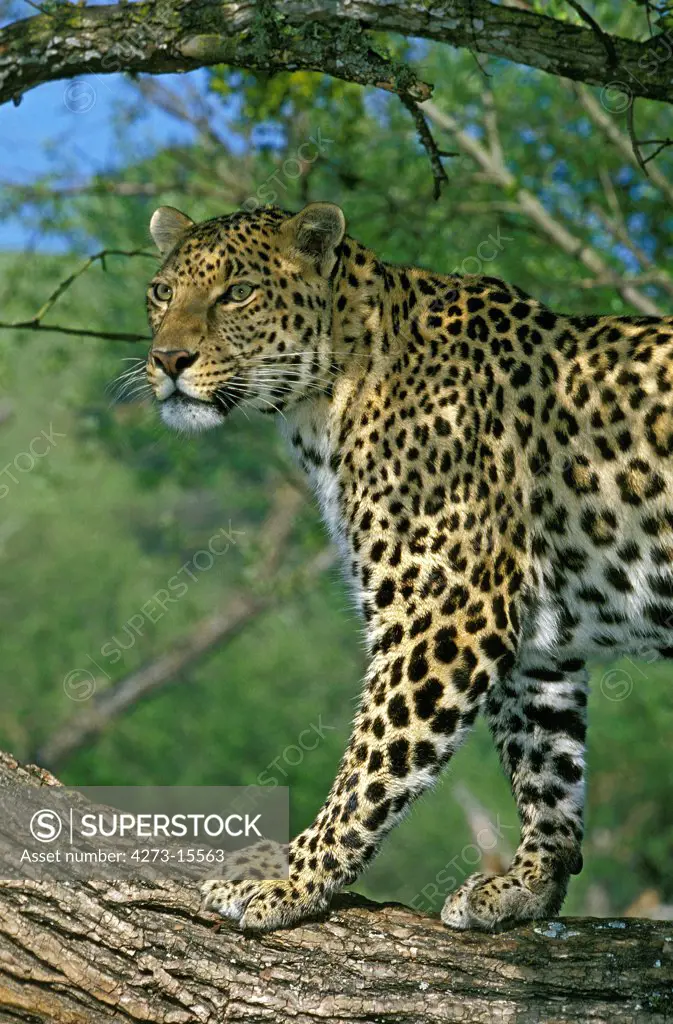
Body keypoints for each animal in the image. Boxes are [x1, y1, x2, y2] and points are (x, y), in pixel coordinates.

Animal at [143, 199, 671, 937]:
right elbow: (546, 764)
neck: (328, 399)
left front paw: (294, 878)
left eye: (238, 292)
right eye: (162, 293)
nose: (168, 359)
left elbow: (372, 764)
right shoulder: (538, 643)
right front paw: (527, 886)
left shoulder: (444, 616)